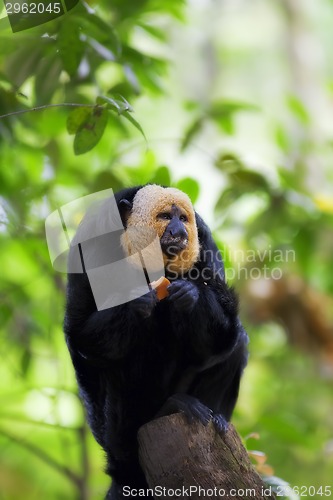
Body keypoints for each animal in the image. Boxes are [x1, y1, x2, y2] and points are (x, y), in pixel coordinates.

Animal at [63, 185, 248, 500]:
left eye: (182, 218)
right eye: (164, 217)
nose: (179, 231)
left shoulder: (205, 241)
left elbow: (223, 340)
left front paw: (191, 295)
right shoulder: (90, 244)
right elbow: (81, 335)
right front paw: (138, 300)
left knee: (238, 343)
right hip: (116, 435)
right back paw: (162, 412)